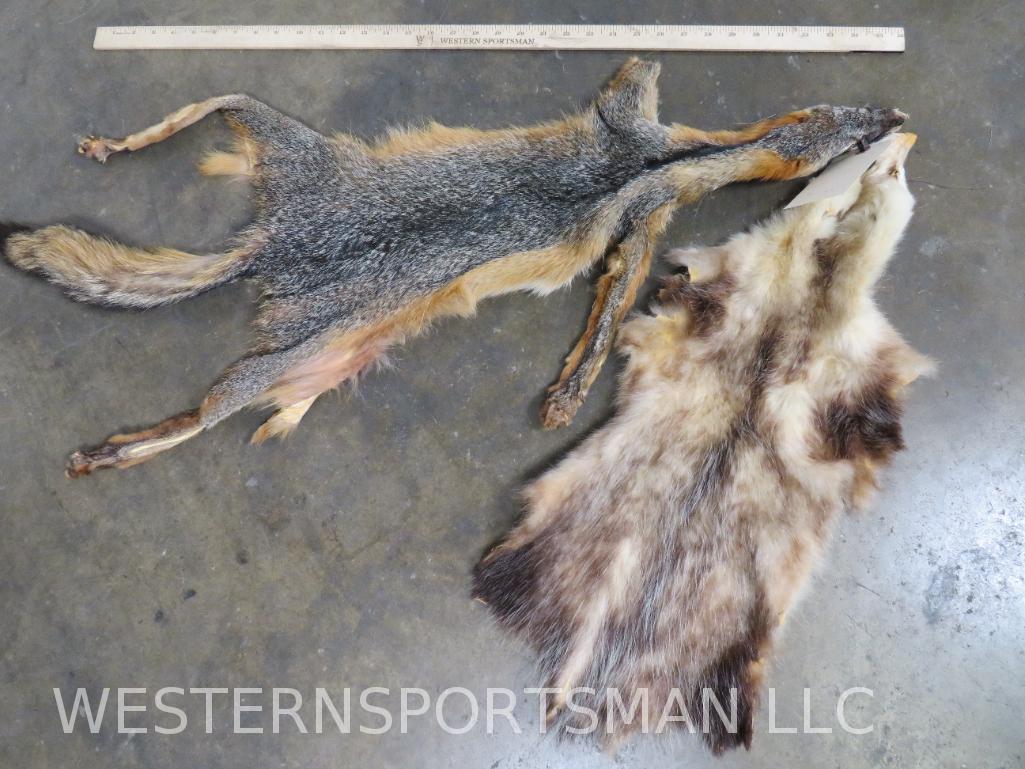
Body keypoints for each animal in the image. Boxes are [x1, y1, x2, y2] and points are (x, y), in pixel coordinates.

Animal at [1, 58, 905, 476]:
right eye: (851, 132)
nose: (894, 114)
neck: (658, 160)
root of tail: (274, 244)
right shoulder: (635, 205)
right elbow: (608, 318)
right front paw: (567, 396)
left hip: (300, 243)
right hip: (278, 334)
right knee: (197, 416)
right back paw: (111, 452)